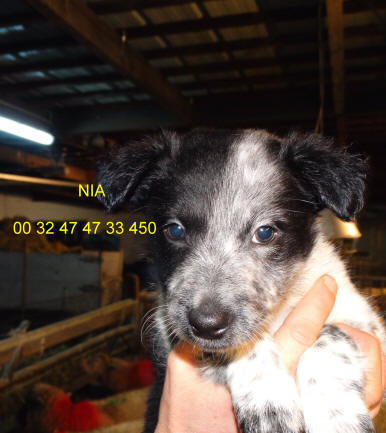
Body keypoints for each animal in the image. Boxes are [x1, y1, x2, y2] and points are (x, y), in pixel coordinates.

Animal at [98, 130, 384, 432]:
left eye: (265, 232)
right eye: (174, 230)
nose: (206, 325)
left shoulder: (365, 322)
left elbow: (331, 334)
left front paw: (338, 414)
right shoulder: (169, 325)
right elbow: (243, 345)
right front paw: (269, 401)